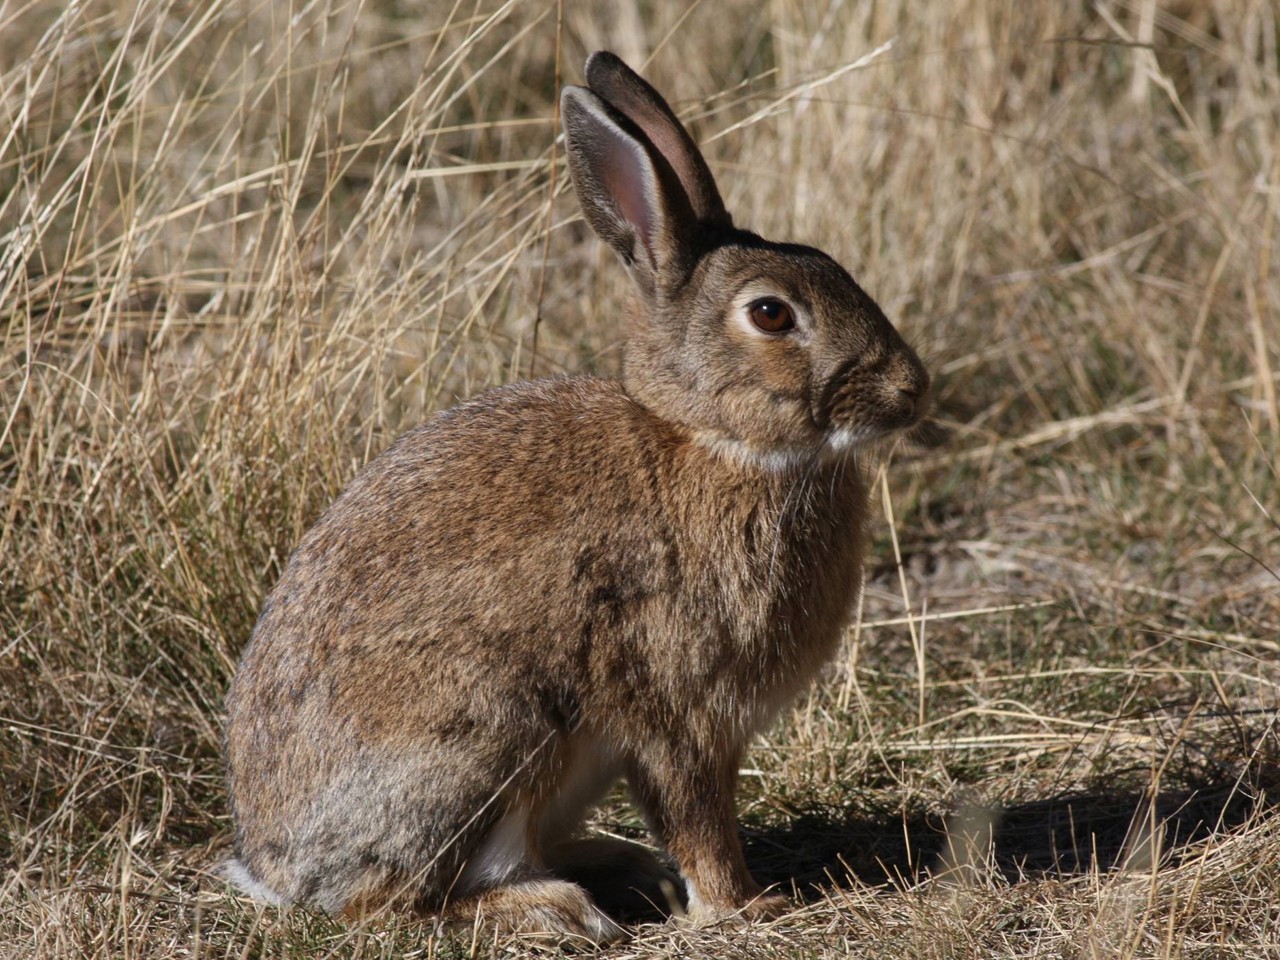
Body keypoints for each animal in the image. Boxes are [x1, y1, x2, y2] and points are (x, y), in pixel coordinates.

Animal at [222, 50, 930, 943]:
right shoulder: (681, 709)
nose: (913, 390)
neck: (714, 440)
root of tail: (274, 869)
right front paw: (744, 905)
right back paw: (555, 908)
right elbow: (697, 815)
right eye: (771, 314)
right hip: (487, 734)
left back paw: (621, 868)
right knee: (387, 903)